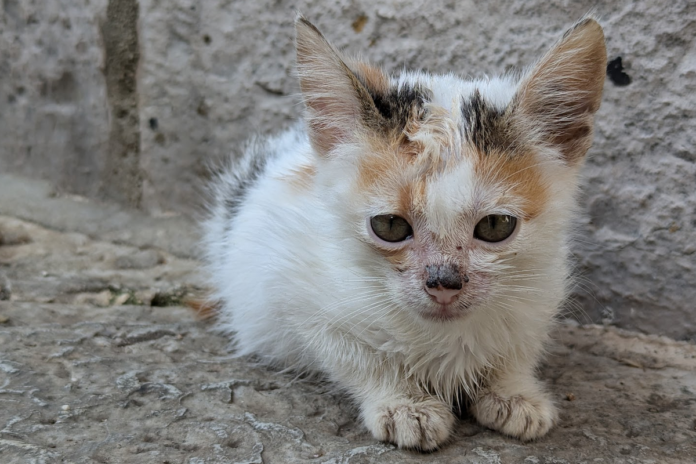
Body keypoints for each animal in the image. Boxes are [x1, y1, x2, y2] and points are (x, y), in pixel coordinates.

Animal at [204, 15, 608, 450]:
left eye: (496, 226)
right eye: (390, 226)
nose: (444, 282)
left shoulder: (542, 289)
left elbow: (518, 347)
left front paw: (513, 393)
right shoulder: (288, 282)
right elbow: (353, 354)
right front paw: (405, 405)